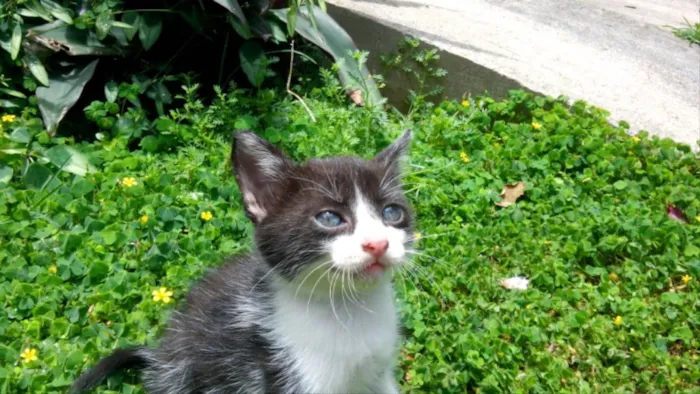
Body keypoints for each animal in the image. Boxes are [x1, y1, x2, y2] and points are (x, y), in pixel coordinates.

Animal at [74, 129, 416, 394]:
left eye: (391, 212)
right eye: (330, 218)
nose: (378, 243)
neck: (350, 308)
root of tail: (159, 356)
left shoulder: (379, 373)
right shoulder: (284, 371)